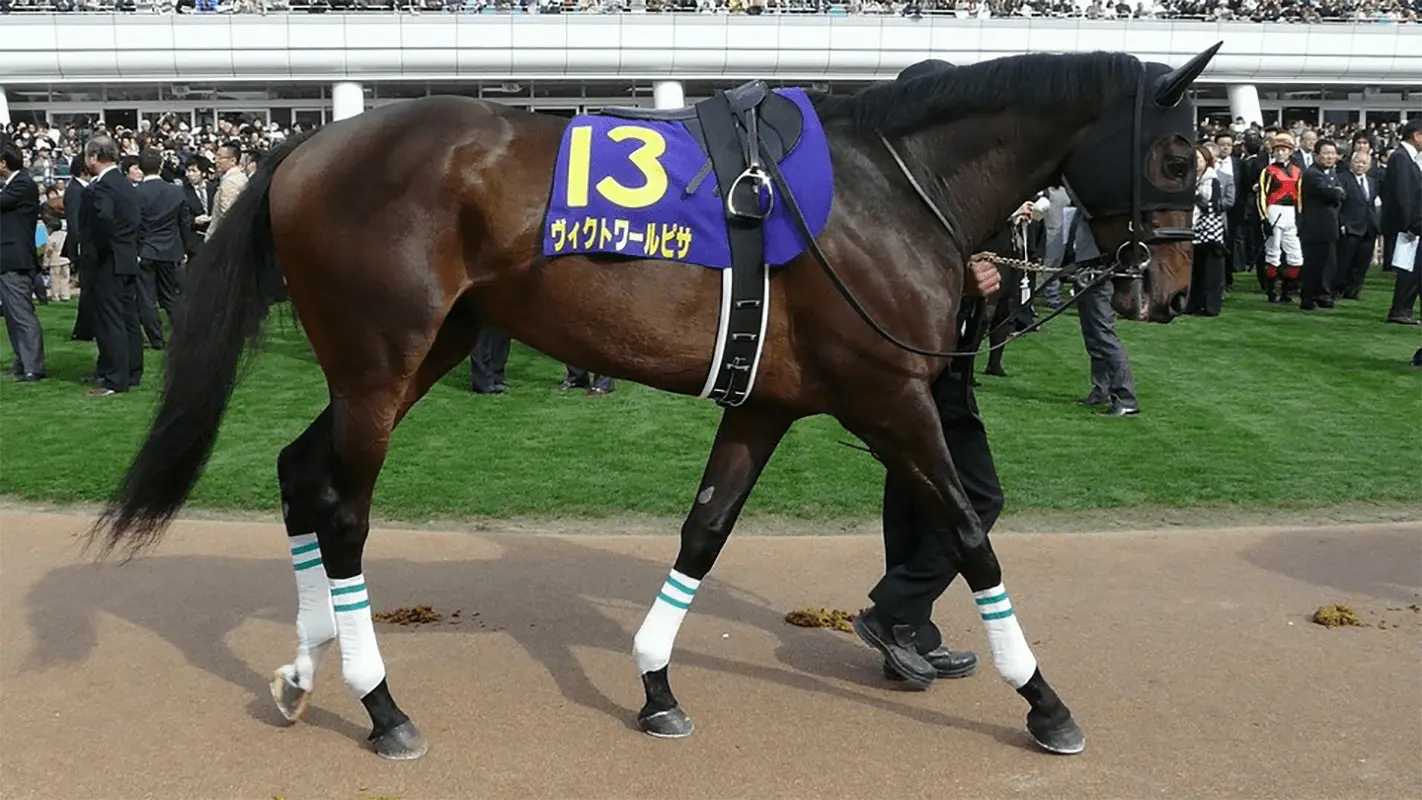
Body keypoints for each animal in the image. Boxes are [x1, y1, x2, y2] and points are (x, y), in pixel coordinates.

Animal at [86, 44, 1222, 762]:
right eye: (1178, 151)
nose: (1163, 288)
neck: (888, 189)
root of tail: (306, 145)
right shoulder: (890, 395)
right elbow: (971, 531)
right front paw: (1044, 700)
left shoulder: (767, 403)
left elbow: (705, 532)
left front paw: (655, 684)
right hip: (381, 362)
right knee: (344, 513)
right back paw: (381, 705)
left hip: (420, 354)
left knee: (298, 473)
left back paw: (303, 667)